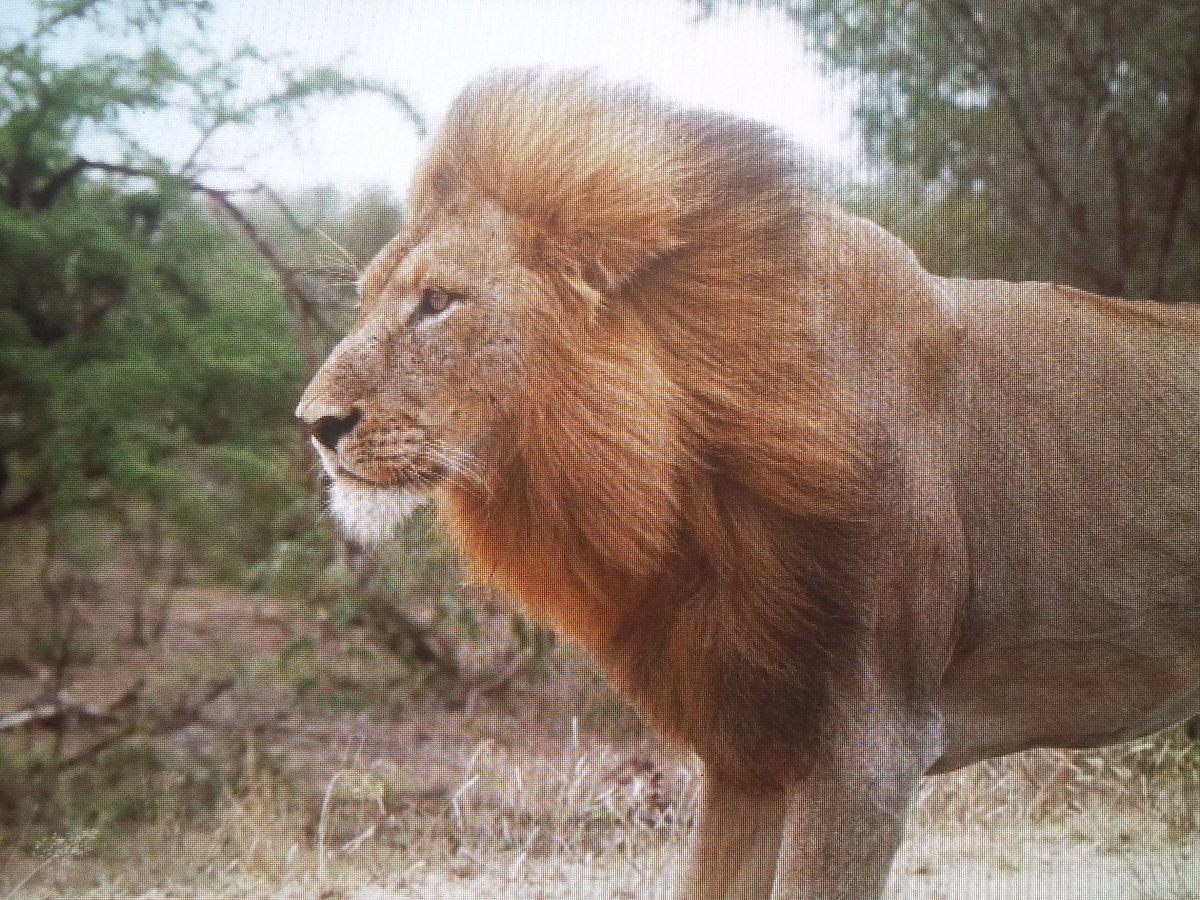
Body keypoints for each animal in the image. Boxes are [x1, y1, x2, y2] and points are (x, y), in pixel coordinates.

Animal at [297, 70, 1200, 899]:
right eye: (369, 298)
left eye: (438, 301)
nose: (314, 422)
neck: (690, 475)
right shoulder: (748, 750)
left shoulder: (872, 754)